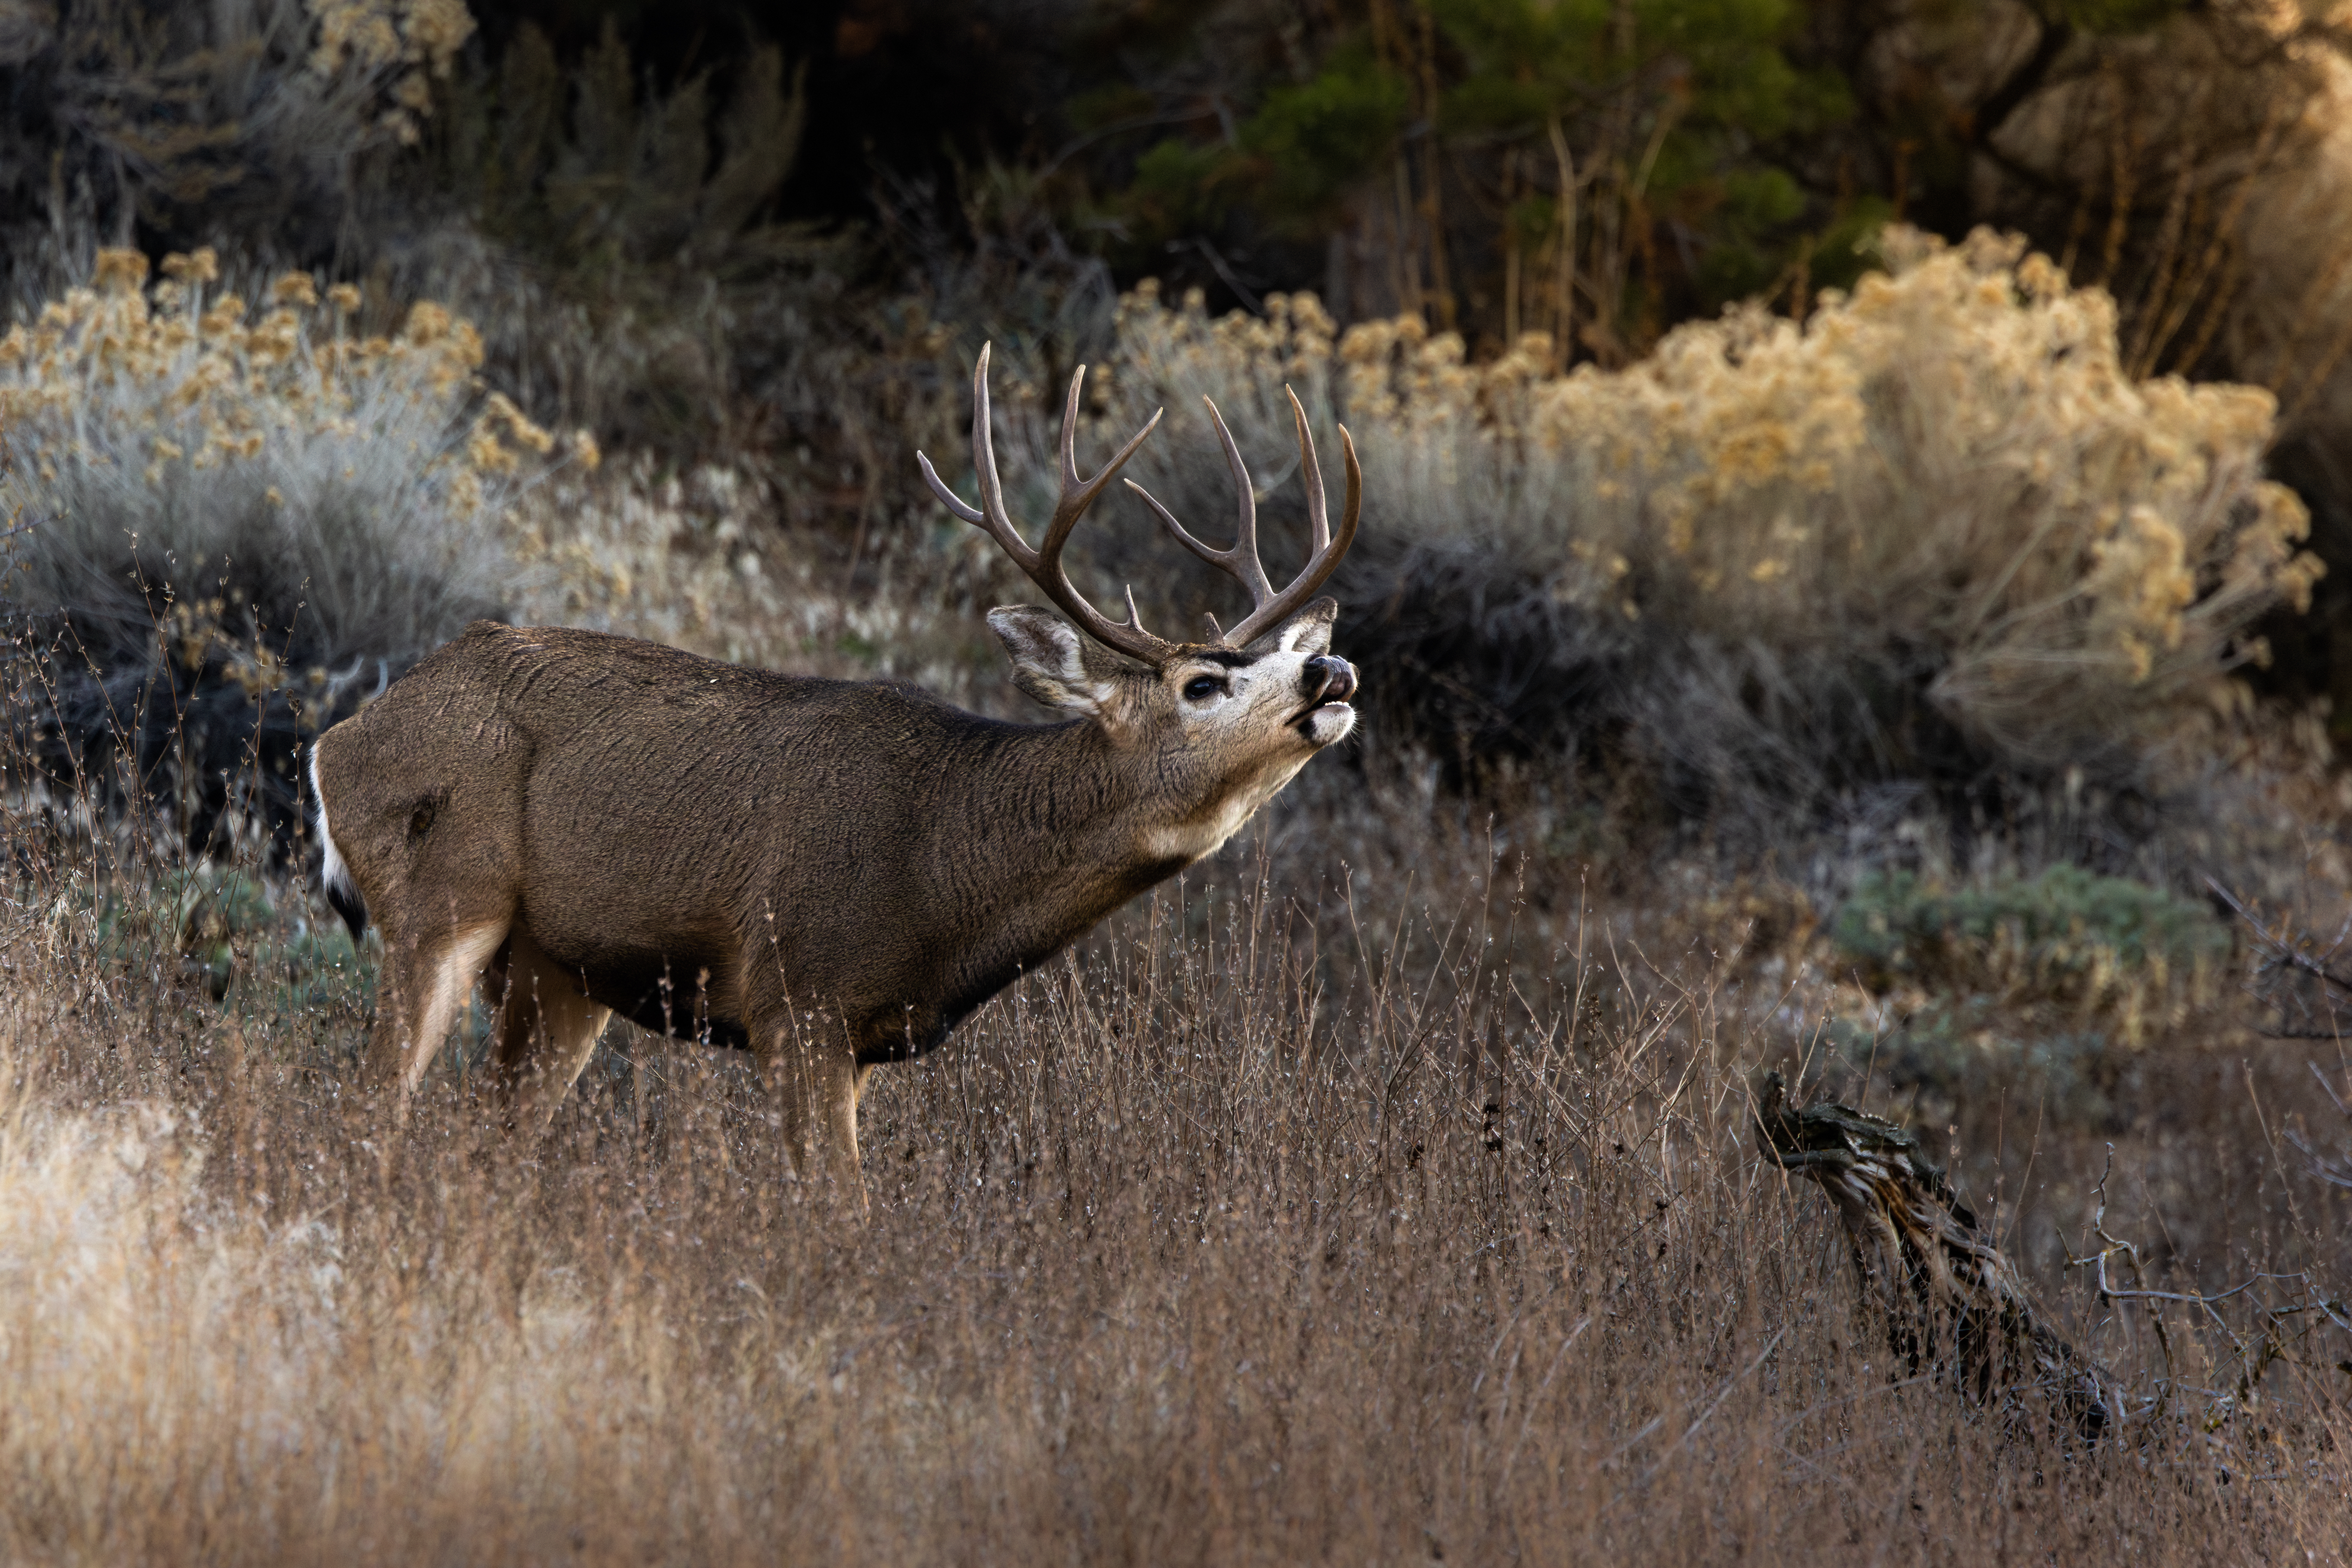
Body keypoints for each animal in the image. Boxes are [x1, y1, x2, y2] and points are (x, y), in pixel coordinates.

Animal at [308, 345, 1362, 1203]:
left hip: (558, 974)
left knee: (491, 1137)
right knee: (368, 1106)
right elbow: (839, 1213)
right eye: (1201, 682)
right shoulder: (797, 997)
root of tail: (332, 743)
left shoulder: (854, 1043)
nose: (1332, 669)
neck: (942, 865)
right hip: (442, 892)